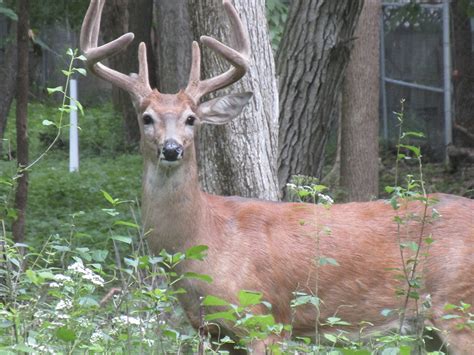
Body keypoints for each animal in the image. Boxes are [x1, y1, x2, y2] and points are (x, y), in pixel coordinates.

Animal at [79, 0, 472, 354]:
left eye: (192, 118)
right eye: (147, 117)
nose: (172, 149)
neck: (205, 236)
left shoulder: (264, 320)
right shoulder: (211, 330)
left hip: (458, 308)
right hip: (431, 327)